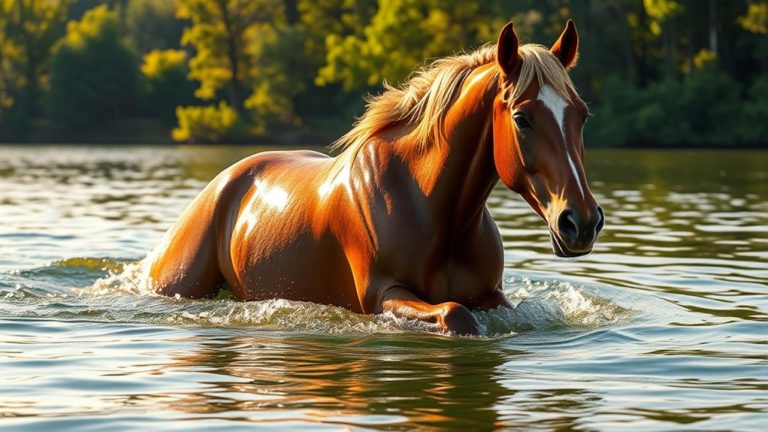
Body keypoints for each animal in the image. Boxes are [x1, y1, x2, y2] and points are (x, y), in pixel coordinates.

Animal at [142, 20, 604, 335]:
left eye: (582, 115)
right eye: (522, 118)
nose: (581, 222)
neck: (431, 207)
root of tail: (224, 183)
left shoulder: (493, 297)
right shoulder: (385, 296)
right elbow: (456, 315)